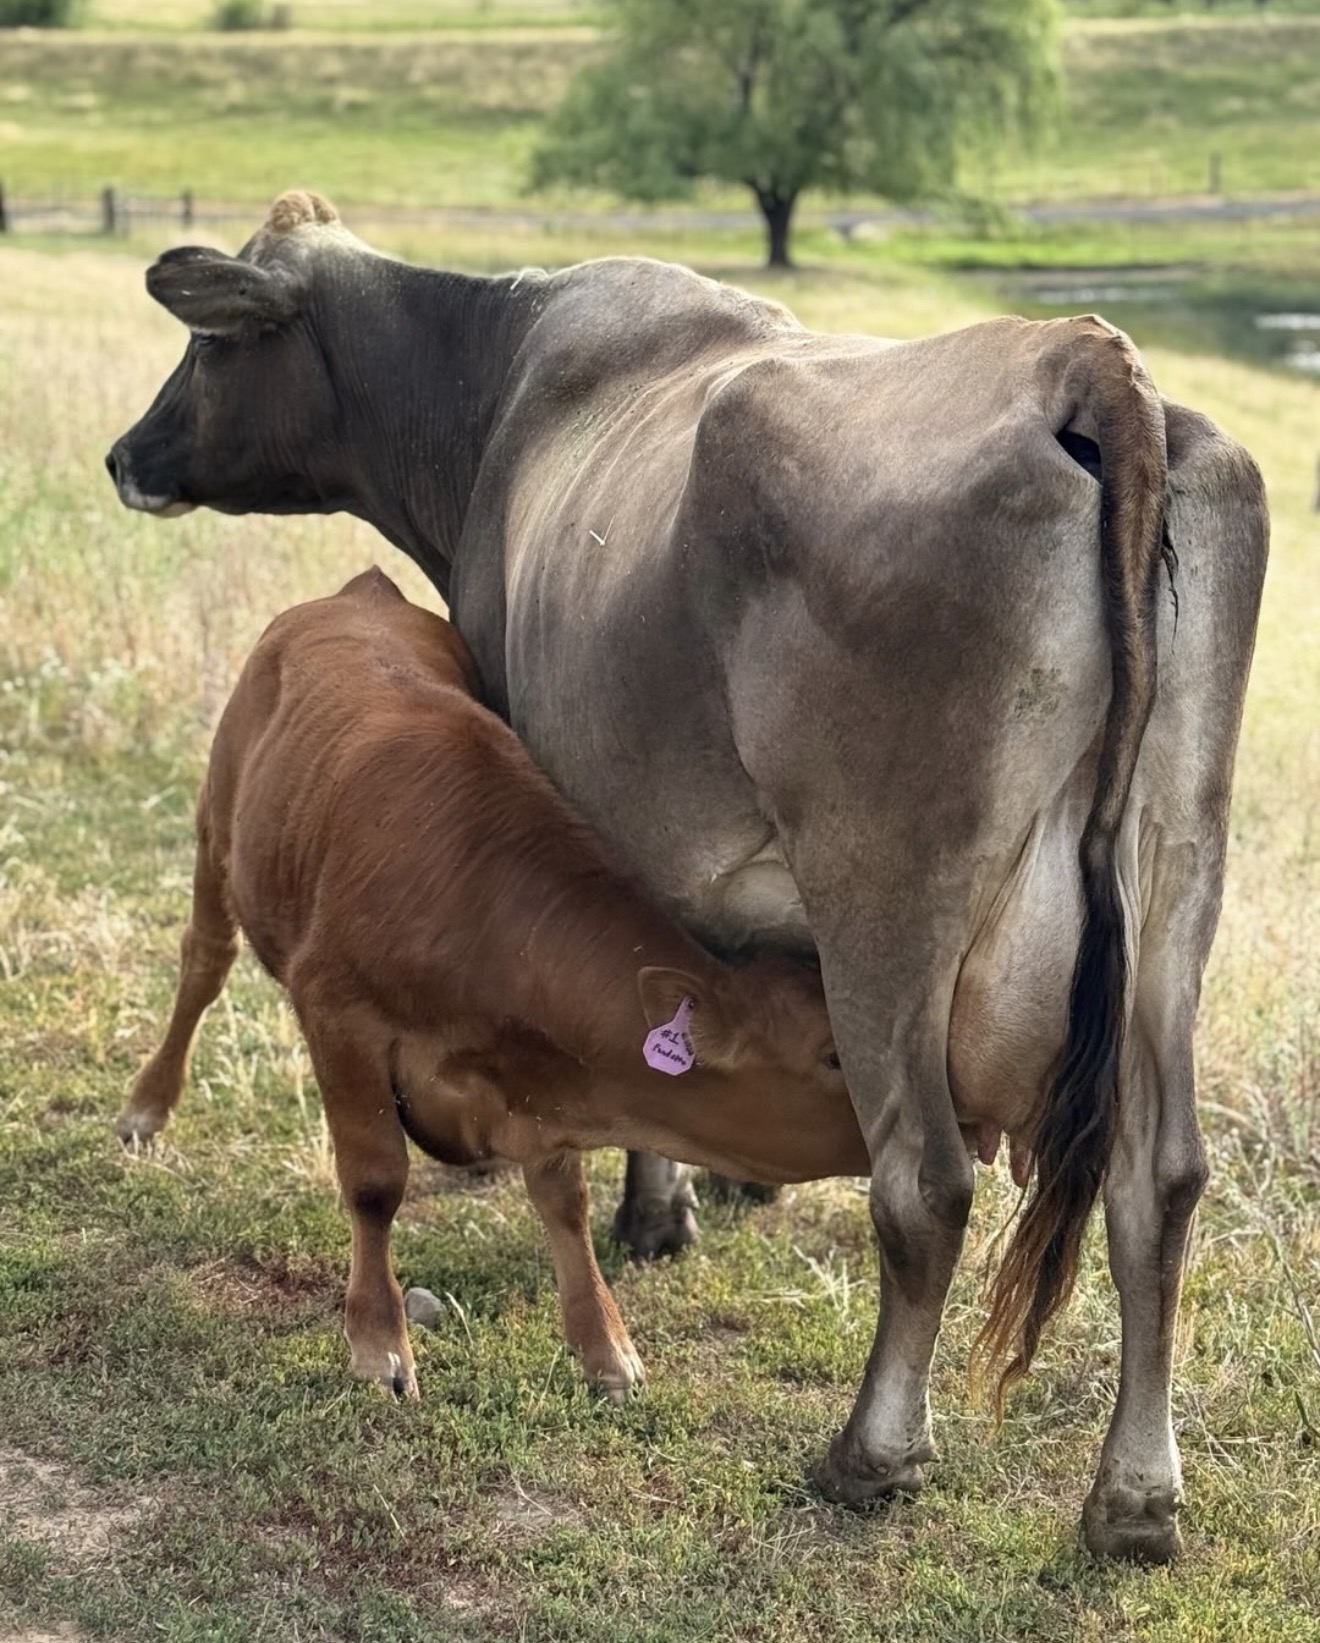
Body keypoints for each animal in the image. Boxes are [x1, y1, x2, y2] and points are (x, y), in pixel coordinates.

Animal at [117, 567, 862, 1401]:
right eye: (833, 1054)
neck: (483, 916)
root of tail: (361, 591)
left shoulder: (538, 1087)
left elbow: (565, 1199)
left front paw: (605, 1345)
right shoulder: (337, 1014)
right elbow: (375, 1181)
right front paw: (380, 1343)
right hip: (216, 829)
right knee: (203, 963)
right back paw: (146, 1106)